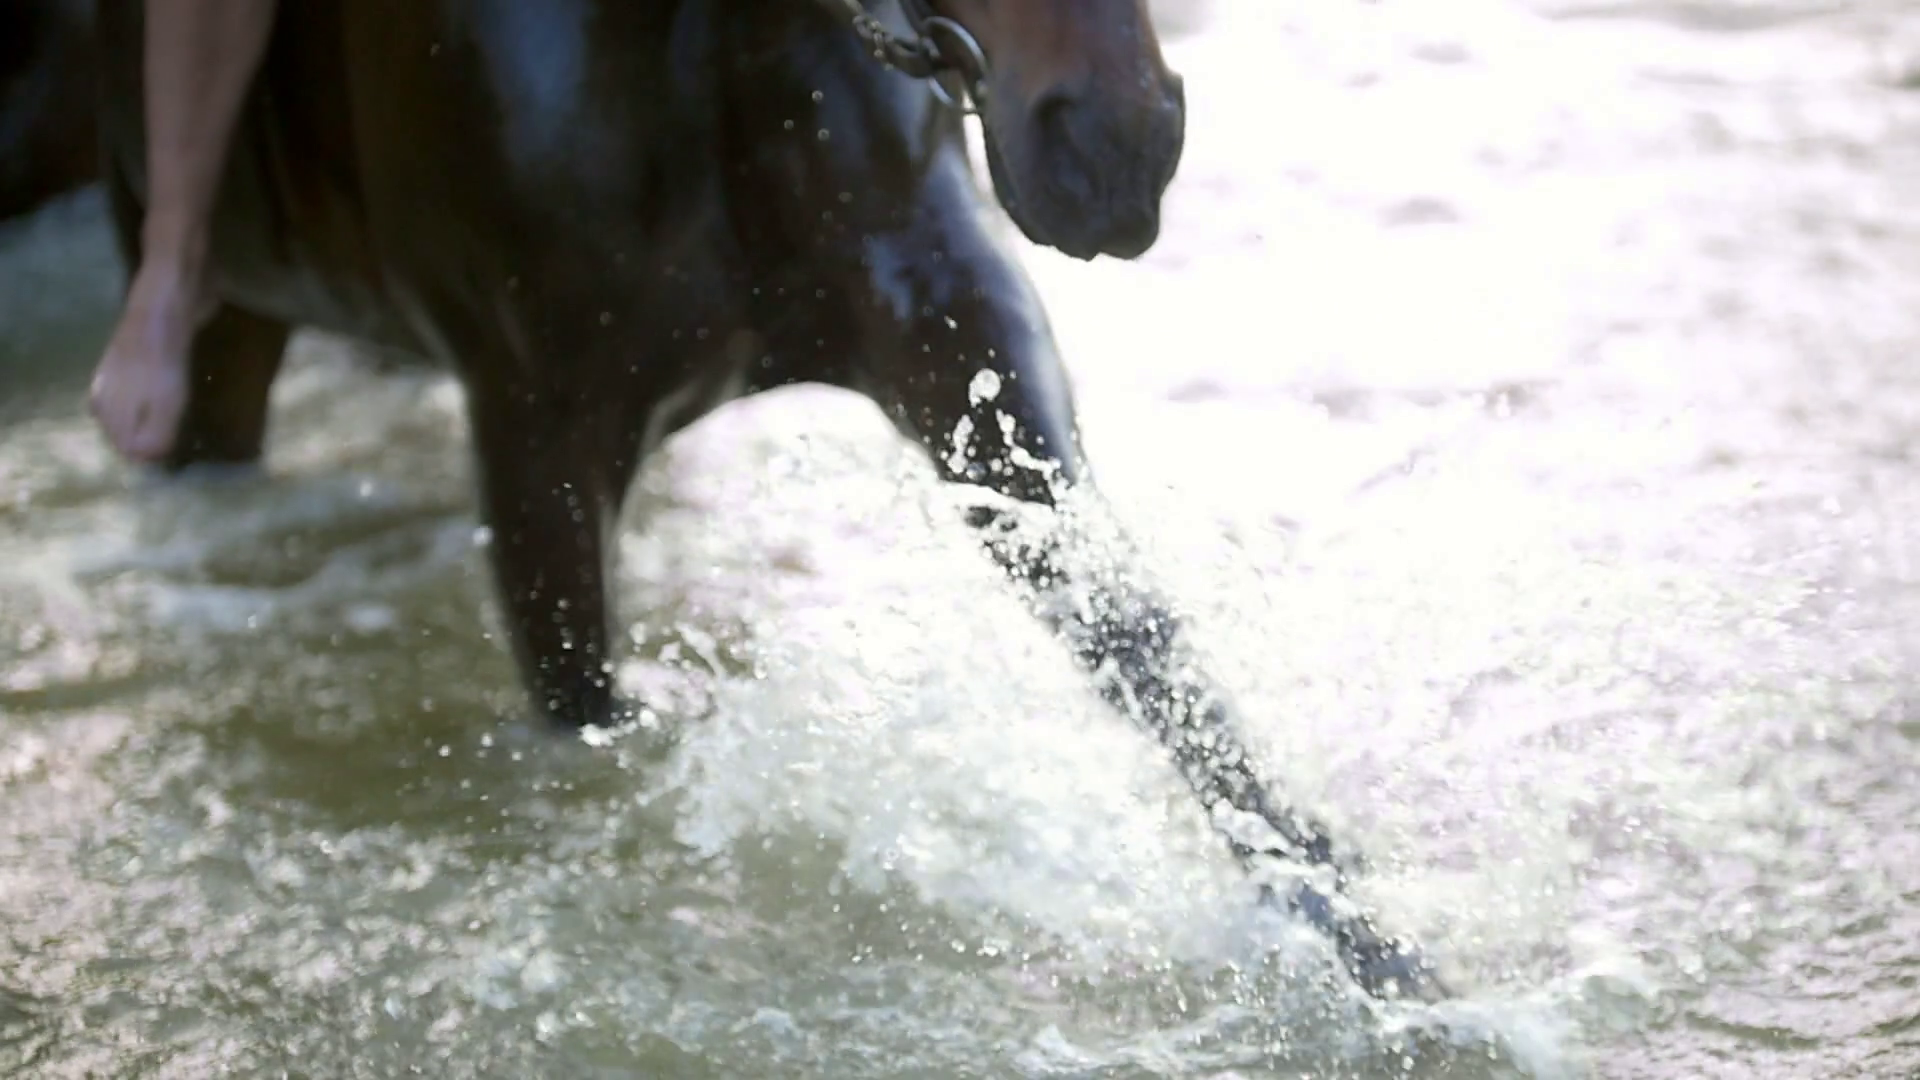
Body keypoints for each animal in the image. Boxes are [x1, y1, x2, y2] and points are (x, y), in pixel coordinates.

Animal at [88, 0, 1446, 1001]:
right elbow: (588, 718)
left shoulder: (952, 330)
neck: (714, 50)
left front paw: (1370, 939)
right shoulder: (536, 433)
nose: (1115, 148)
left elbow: (1143, 646)